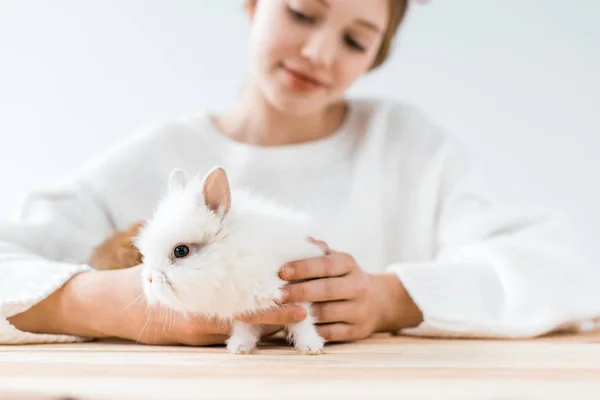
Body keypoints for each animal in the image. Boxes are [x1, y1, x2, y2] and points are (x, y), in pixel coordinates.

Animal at [133, 167, 326, 354]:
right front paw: (239, 347)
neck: (229, 258)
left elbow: (302, 318)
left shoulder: (293, 287)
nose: (149, 279)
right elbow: (244, 325)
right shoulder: (241, 304)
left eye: (181, 251)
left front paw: (311, 346)